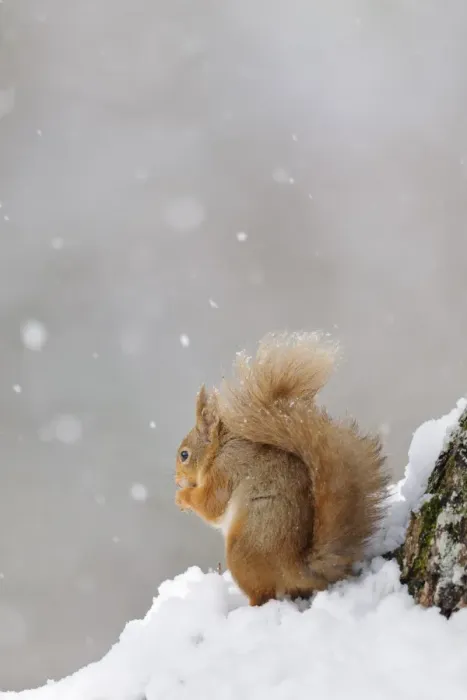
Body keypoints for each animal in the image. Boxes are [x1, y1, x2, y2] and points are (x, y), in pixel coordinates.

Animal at [175, 331, 389, 606]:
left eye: (184, 455)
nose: (177, 480)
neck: (219, 449)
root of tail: (295, 567)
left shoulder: (225, 471)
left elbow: (212, 505)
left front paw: (183, 497)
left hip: (241, 552)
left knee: (263, 595)